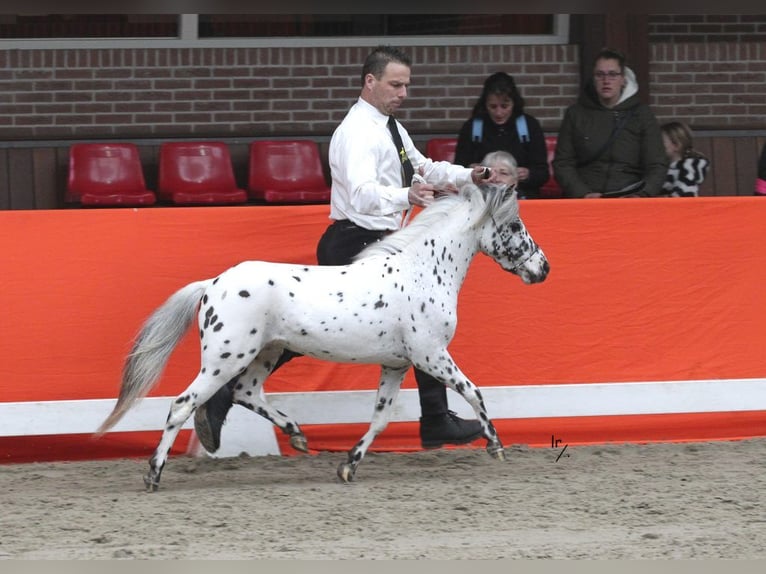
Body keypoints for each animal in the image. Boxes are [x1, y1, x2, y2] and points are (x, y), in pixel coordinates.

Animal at [96, 182, 548, 492]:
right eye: (514, 225)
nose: (542, 269)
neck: (422, 271)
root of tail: (213, 284)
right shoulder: (431, 354)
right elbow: (474, 391)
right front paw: (495, 446)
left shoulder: (397, 363)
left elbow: (381, 417)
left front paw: (348, 465)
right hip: (227, 356)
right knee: (184, 403)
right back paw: (154, 474)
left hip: (266, 352)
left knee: (245, 392)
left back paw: (296, 435)